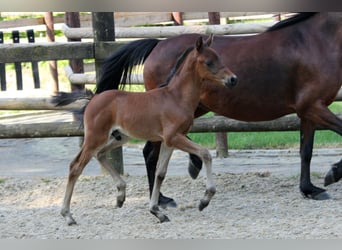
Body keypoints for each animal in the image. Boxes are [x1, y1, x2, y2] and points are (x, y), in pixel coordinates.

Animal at [95, 11, 342, 204]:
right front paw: (332, 174)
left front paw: (310, 189)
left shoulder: (308, 110)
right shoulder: (313, 107)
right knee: (151, 152)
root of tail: (157, 44)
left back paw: (175, 183)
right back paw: (164, 197)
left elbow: (306, 151)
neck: (316, 41)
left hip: (193, 108)